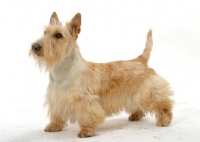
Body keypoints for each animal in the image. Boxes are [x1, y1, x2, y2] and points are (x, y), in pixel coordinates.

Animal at [29, 11, 173, 138]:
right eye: (45, 32)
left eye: (58, 35)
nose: (35, 47)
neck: (62, 71)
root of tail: (140, 59)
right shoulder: (56, 99)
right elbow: (57, 114)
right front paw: (54, 126)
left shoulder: (85, 101)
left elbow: (87, 116)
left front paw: (86, 131)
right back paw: (135, 116)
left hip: (148, 92)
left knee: (163, 104)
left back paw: (164, 120)